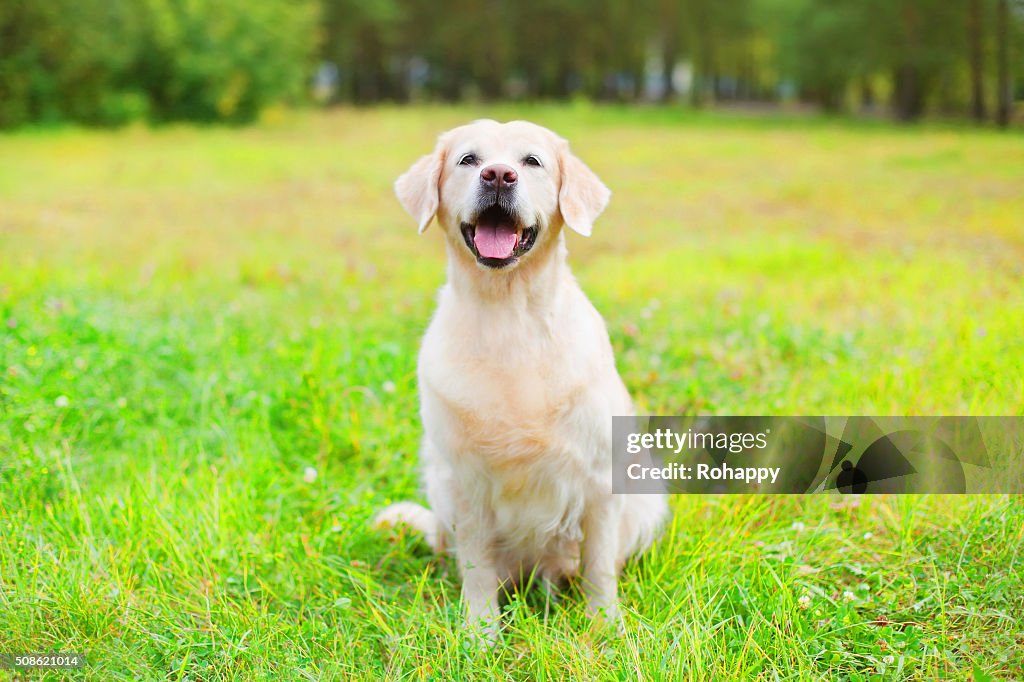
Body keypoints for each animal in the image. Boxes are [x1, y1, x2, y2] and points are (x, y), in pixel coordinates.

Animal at [376, 118, 671, 638]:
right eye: (468, 159)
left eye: (532, 161)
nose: (498, 175)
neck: (508, 314)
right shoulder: (465, 483)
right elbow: (477, 567)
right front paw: (480, 634)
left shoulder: (600, 480)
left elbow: (599, 565)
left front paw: (604, 626)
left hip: (648, 495)